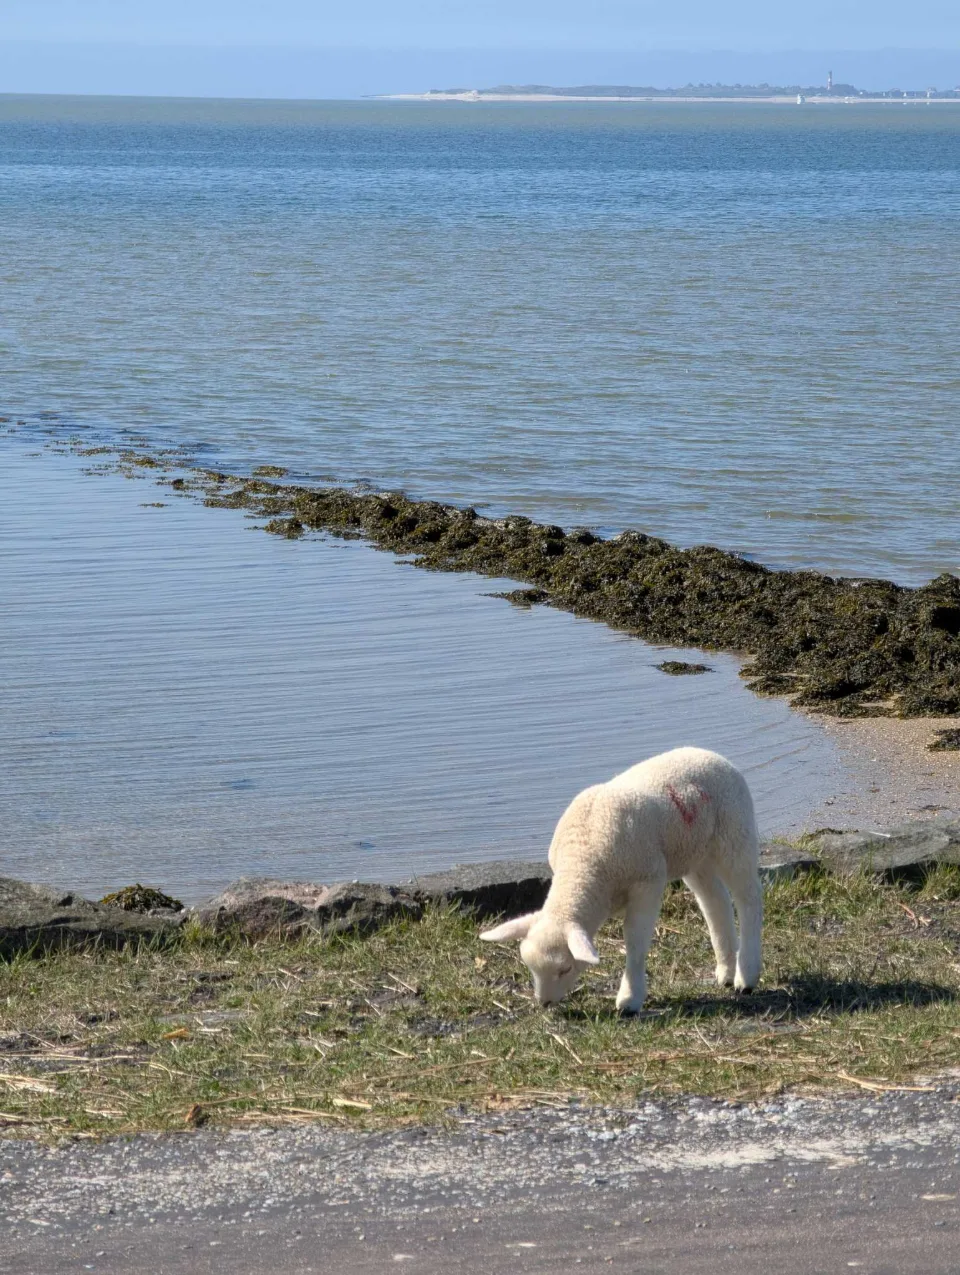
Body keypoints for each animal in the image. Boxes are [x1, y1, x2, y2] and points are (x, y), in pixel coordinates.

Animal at [480, 747, 762, 1012]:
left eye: (565, 969)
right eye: (531, 967)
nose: (545, 1003)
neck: (583, 865)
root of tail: (709, 754)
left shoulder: (648, 881)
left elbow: (635, 938)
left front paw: (629, 999)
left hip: (735, 836)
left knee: (748, 899)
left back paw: (746, 976)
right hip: (694, 854)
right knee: (715, 902)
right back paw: (726, 971)